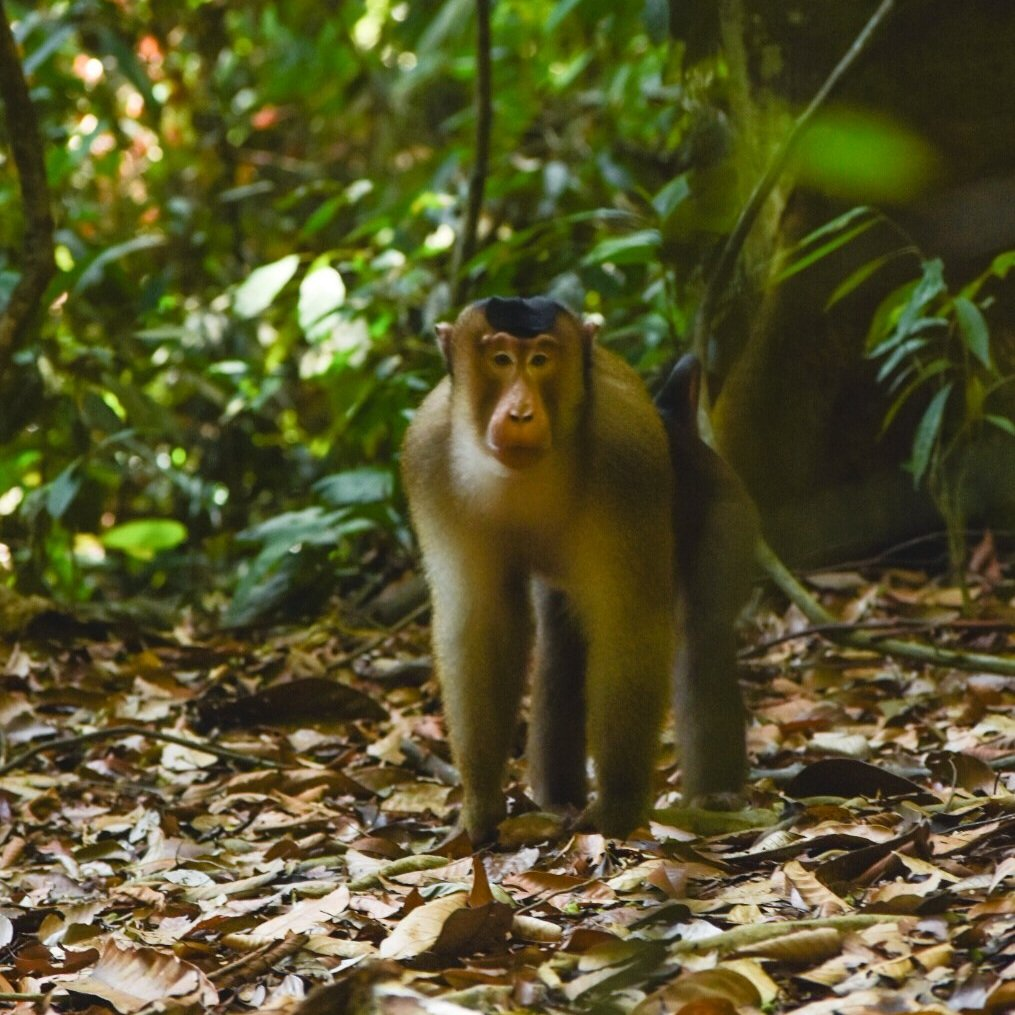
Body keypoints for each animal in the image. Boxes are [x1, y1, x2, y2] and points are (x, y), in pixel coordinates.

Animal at [402, 296, 754, 843]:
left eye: (541, 360)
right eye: (500, 360)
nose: (521, 413)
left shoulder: (625, 455)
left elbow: (629, 622)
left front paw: (618, 809)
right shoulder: (428, 456)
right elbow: (480, 622)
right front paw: (480, 808)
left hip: (727, 508)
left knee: (703, 633)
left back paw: (714, 797)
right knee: (560, 649)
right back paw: (557, 798)